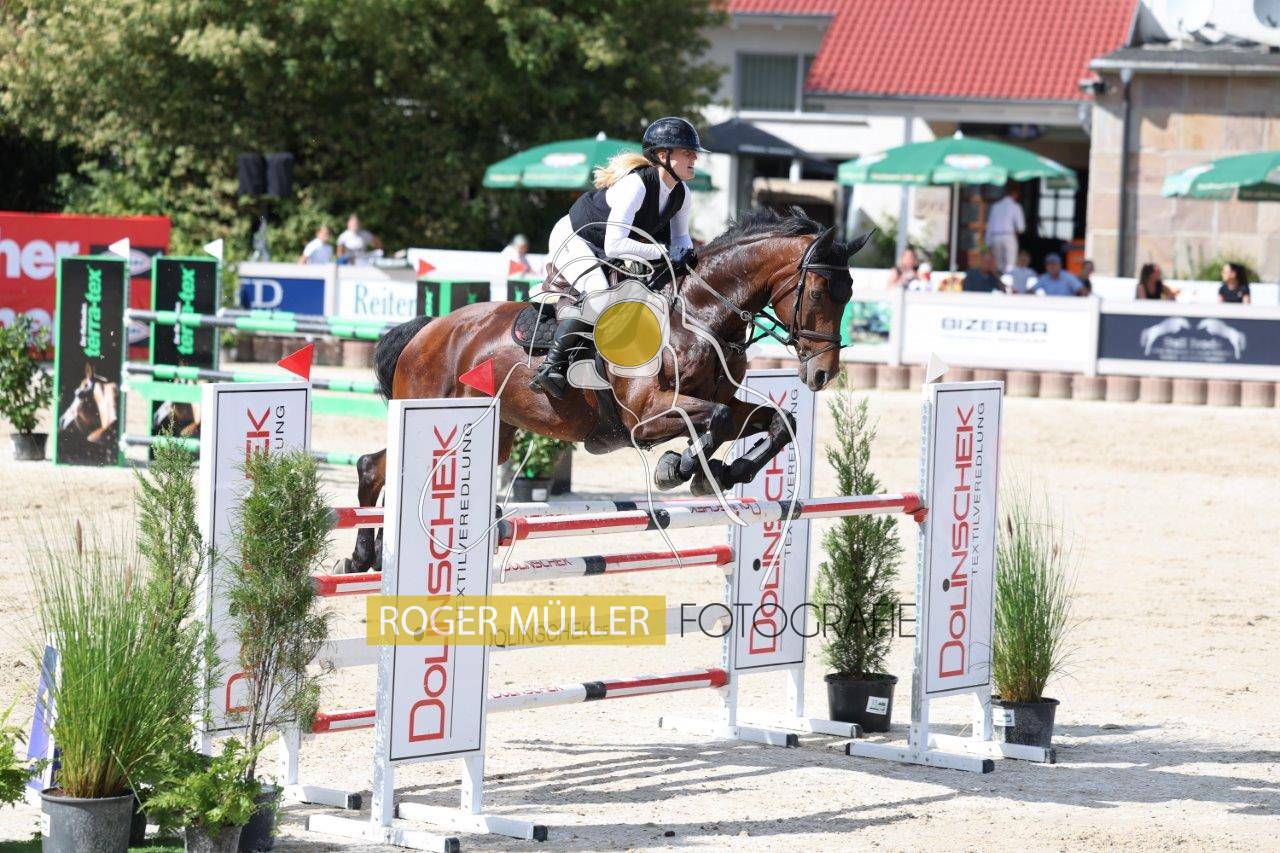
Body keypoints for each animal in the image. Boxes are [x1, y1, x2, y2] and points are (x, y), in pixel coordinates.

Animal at [347, 208, 872, 571]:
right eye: (820, 293)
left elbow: (780, 421)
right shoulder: (644, 416)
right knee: (373, 466)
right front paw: (680, 468)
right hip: (435, 407)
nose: (822, 374)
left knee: (380, 467)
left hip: (494, 436)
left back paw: (368, 554)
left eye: (849, 294)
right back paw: (361, 554)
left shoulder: (721, 399)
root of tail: (430, 329)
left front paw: (724, 472)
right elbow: (716, 422)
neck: (698, 317)